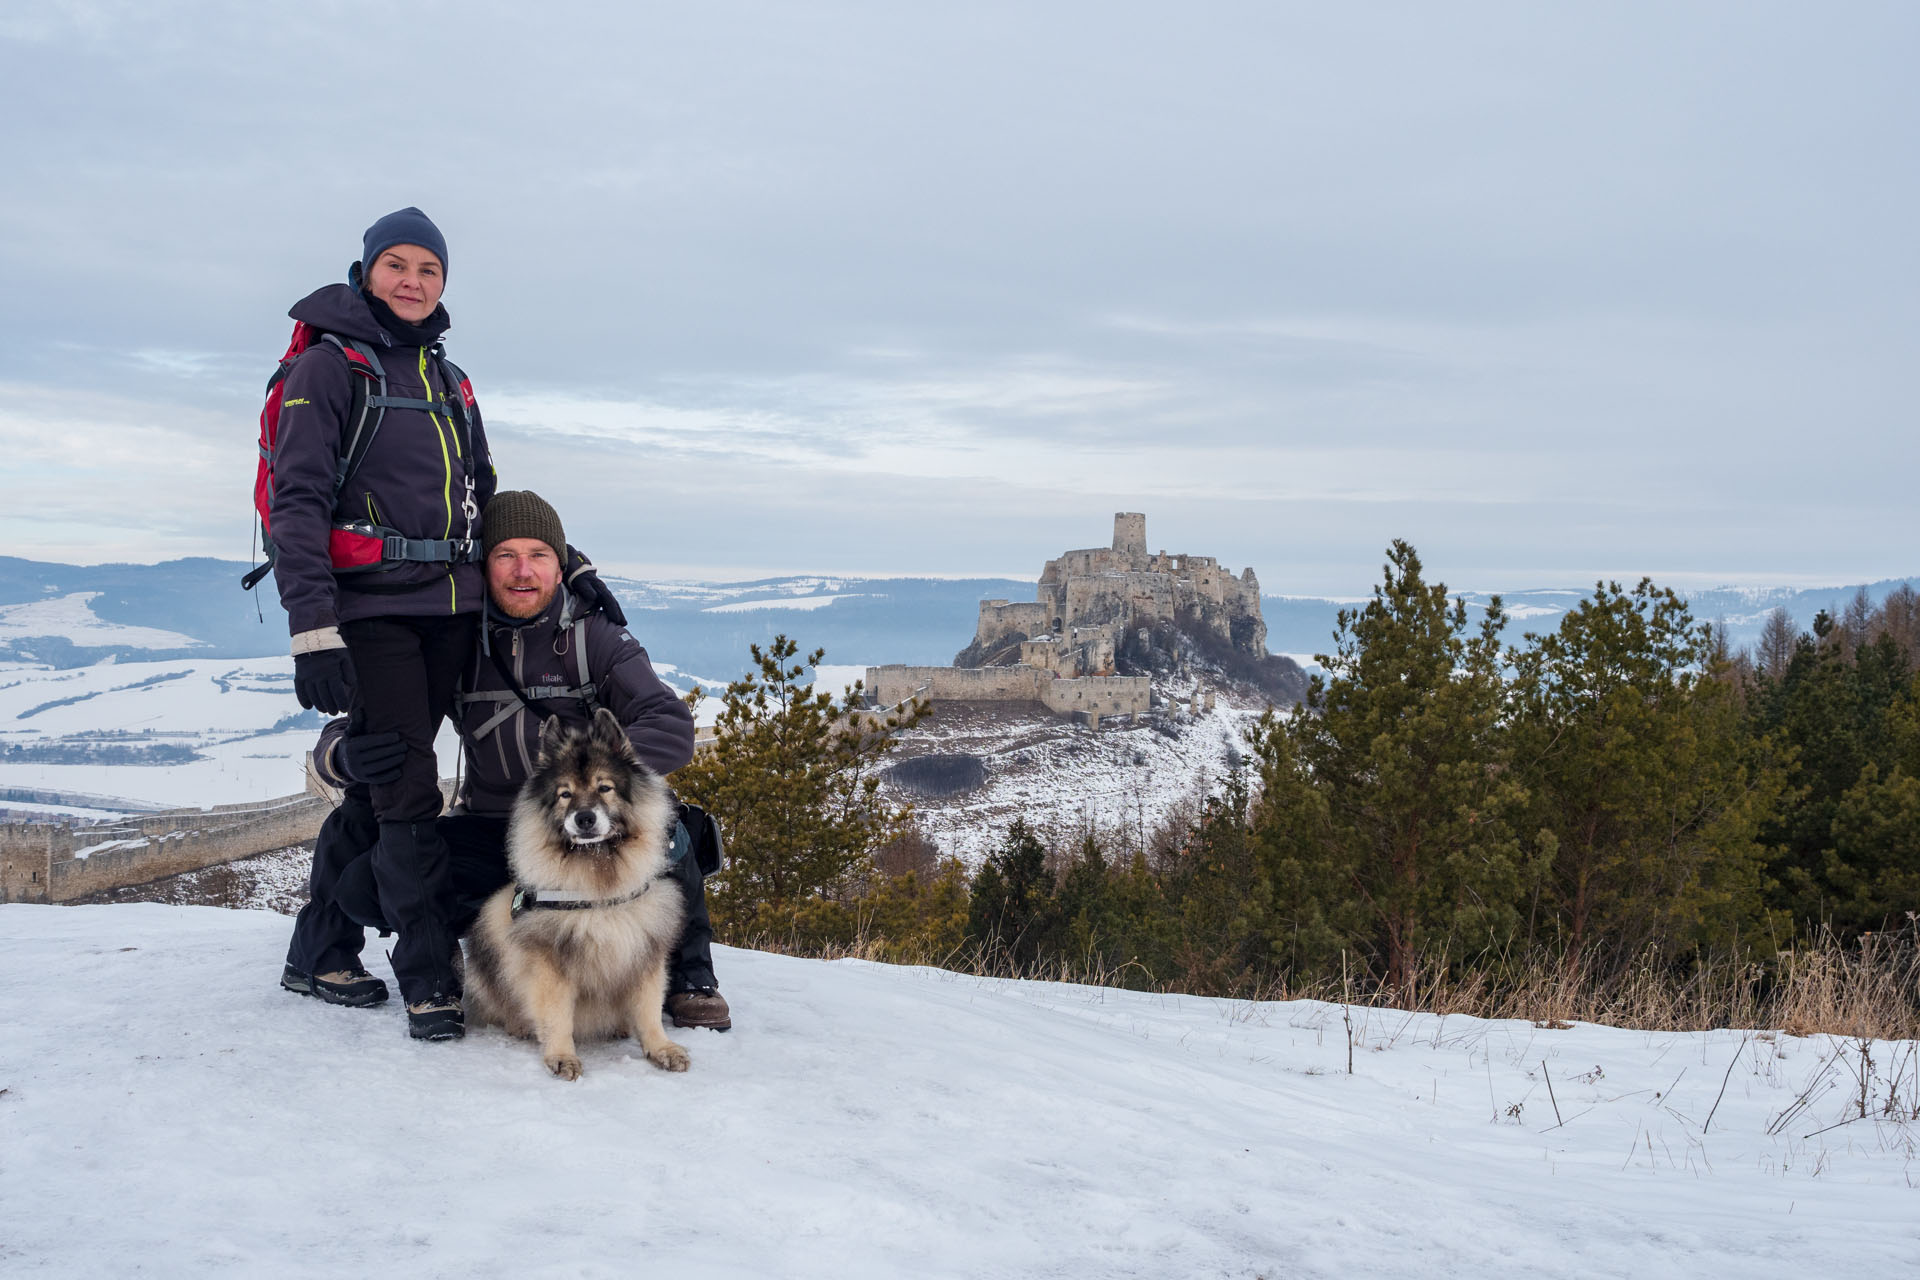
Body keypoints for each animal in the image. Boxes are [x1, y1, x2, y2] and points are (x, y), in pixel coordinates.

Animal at [462, 706, 691, 1074]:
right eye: (565, 794)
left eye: (605, 787)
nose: (584, 818)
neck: (598, 881)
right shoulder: (550, 961)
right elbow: (557, 1015)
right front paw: (561, 1056)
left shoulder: (644, 953)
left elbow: (649, 1010)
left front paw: (661, 1048)